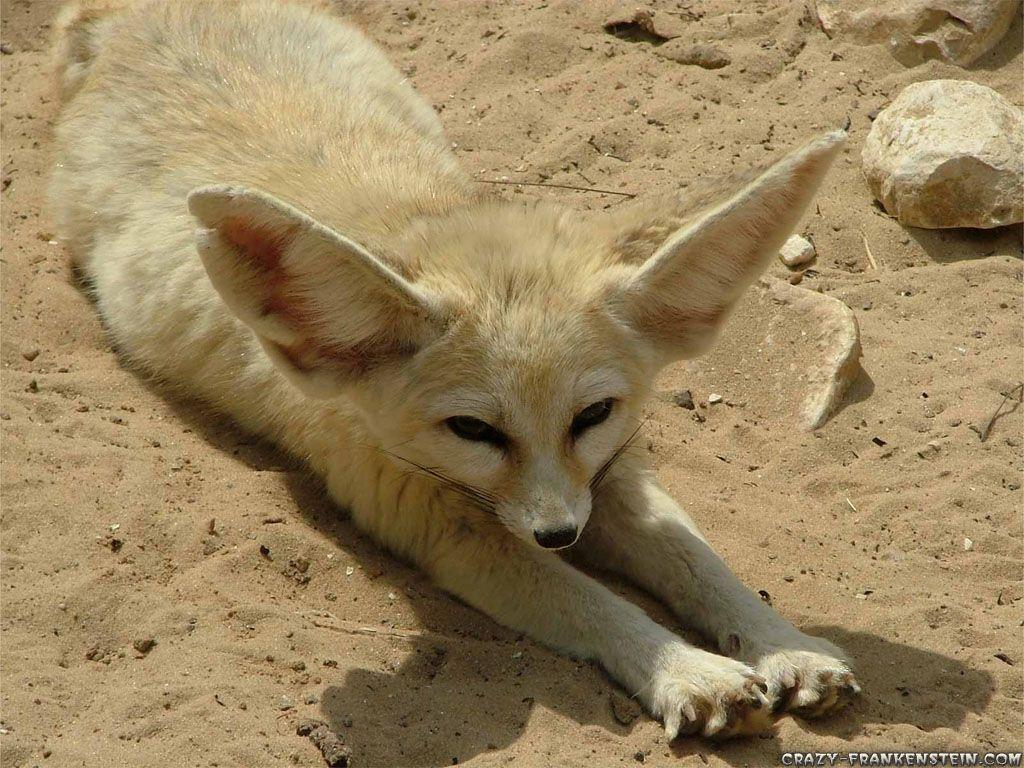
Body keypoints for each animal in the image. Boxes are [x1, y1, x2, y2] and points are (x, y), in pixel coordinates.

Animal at [50, 0, 860, 740]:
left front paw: (785, 645)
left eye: (592, 415)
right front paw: (686, 669)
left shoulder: (606, 473)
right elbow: (594, 601)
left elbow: (698, 560)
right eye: (472, 430)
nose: (560, 534)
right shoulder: (439, 521)